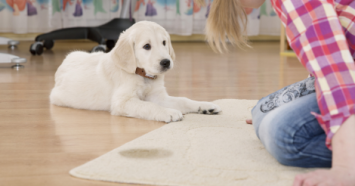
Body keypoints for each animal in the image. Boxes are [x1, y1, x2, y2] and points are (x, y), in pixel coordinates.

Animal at [49, 21, 222, 123]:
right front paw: (169, 112)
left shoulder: (158, 96)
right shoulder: (123, 102)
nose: (166, 62)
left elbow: (183, 100)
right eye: (147, 46)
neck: (143, 76)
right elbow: (149, 106)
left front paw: (205, 105)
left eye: (164, 42)